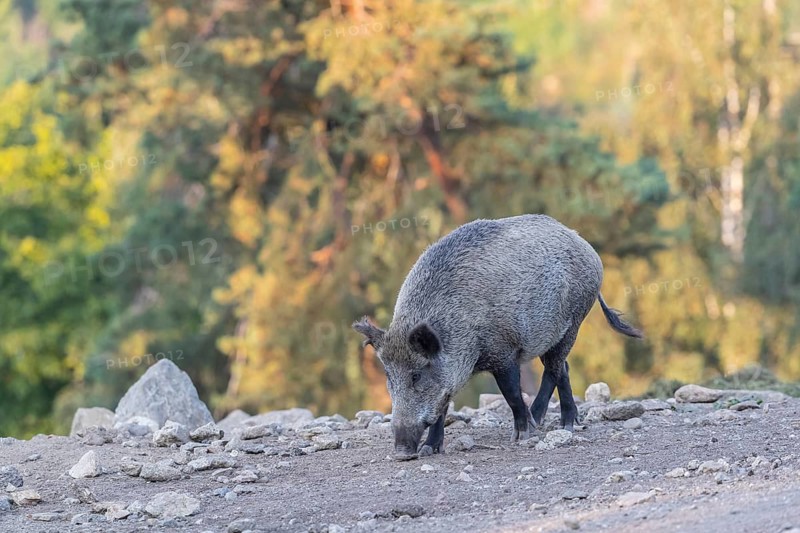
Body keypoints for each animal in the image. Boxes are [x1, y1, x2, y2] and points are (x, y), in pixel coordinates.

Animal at [353, 214, 642, 460]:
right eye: (388, 376)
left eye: (416, 375)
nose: (402, 452)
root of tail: (585, 246)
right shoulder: (452, 375)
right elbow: (442, 406)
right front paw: (429, 450)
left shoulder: (503, 351)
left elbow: (511, 392)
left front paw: (522, 436)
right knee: (563, 368)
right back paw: (552, 421)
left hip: (574, 322)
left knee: (554, 368)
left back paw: (557, 424)